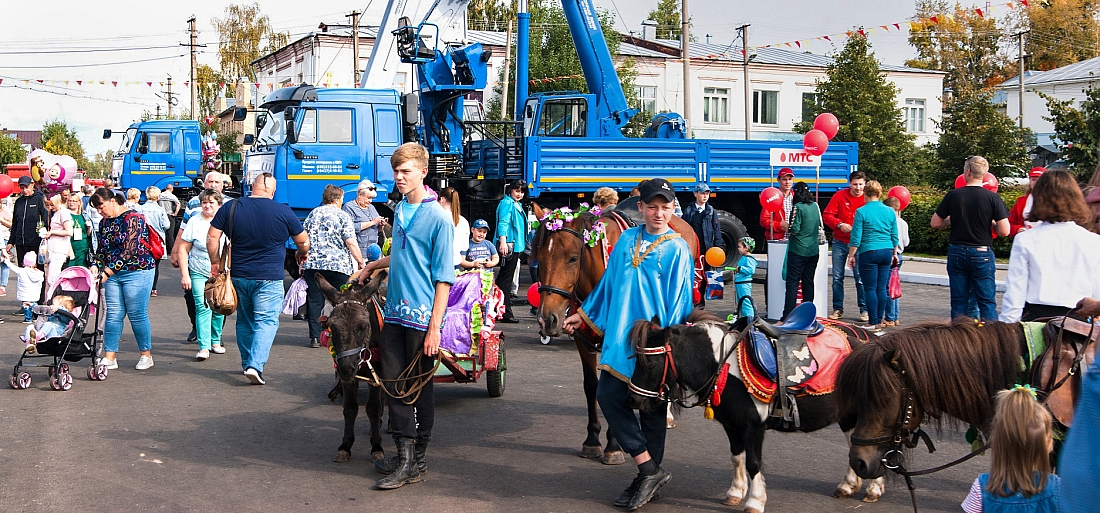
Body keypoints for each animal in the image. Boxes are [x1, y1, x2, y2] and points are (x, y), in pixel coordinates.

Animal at [314, 273, 391, 464]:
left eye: (363, 326)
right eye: (331, 327)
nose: (346, 369)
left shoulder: (375, 373)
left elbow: (372, 408)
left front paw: (376, 448)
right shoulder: (351, 379)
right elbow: (350, 408)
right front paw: (345, 447)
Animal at [629, 308, 884, 513]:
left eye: (651, 363)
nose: (633, 398)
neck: (723, 364)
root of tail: (871, 341)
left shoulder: (754, 427)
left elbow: (753, 463)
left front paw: (754, 501)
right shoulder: (732, 425)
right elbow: (736, 457)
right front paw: (735, 493)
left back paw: (873, 488)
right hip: (847, 414)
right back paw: (849, 485)